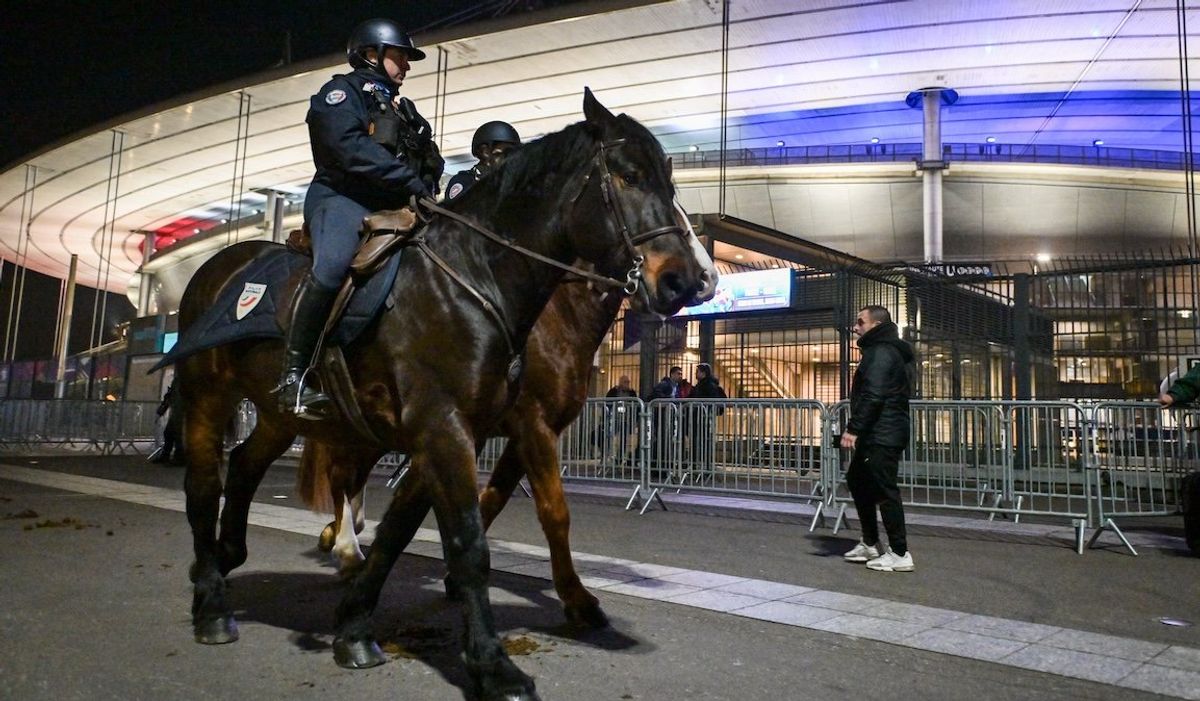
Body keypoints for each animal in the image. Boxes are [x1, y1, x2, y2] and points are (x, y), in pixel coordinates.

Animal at [297, 205, 710, 628]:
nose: (703, 280)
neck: (557, 320)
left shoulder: (524, 434)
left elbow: (492, 499)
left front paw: (453, 573)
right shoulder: (531, 426)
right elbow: (551, 510)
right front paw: (576, 600)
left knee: (350, 476)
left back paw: (341, 535)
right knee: (342, 473)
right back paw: (345, 545)